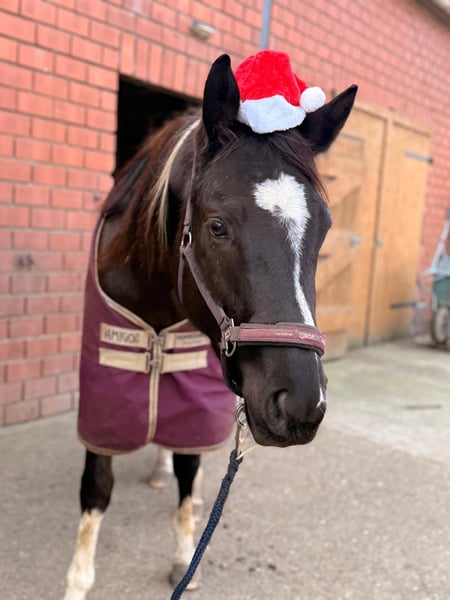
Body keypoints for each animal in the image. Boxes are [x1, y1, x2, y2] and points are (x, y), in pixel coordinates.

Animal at [63, 54, 356, 599]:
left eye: (325, 229)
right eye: (217, 226)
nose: (301, 405)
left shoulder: (192, 381)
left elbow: (189, 463)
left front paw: (184, 554)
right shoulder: (108, 377)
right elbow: (97, 482)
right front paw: (77, 579)